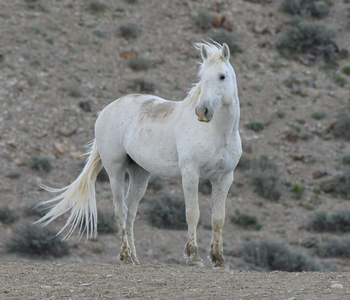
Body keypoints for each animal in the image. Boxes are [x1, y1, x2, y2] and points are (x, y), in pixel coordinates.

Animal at [37, 41, 242, 268]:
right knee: (121, 211)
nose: (202, 111)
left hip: (140, 173)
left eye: (222, 76)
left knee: (131, 212)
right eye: (201, 76)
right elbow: (193, 214)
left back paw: (134, 258)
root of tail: (106, 111)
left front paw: (219, 260)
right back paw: (125, 256)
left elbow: (218, 219)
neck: (219, 133)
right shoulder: (190, 174)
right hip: (115, 171)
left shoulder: (223, 178)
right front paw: (194, 257)